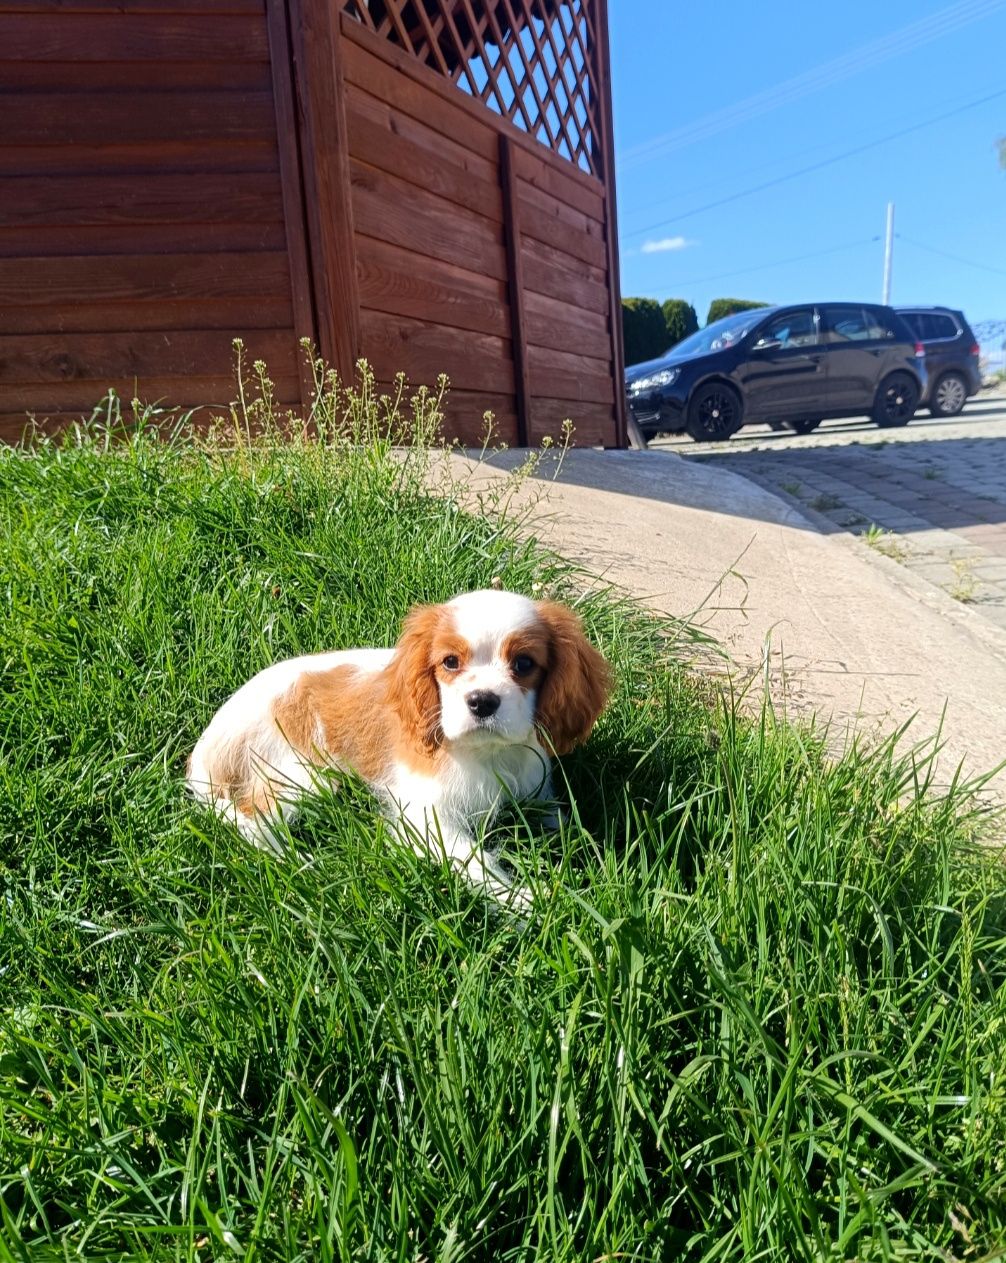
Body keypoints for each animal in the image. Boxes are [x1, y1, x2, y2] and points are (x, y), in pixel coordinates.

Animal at [188, 586, 613, 904]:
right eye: (450, 662)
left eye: (524, 664)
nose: (482, 701)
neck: (490, 753)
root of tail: (215, 735)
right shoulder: (429, 819)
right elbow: (475, 862)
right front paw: (525, 902)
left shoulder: (535, 790)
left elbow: (562, 820)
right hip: (302, 776)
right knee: (251, 818)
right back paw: (297, 861)